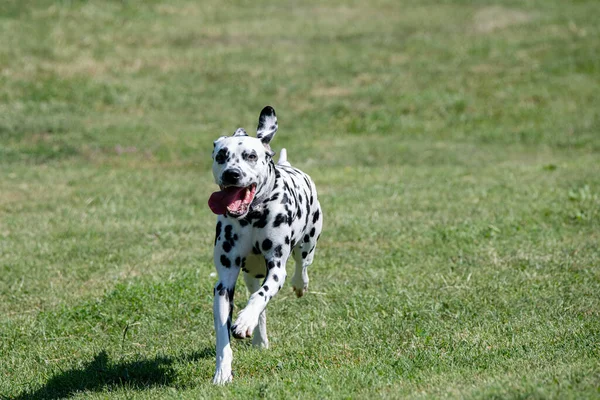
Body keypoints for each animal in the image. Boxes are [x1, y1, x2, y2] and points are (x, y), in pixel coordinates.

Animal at [210, 105, 324, 384]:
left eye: (250, 156)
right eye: (222, 156)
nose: (232, 173)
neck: (252, 215)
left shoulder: (276, 268)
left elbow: (262, 295)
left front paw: (244, 321)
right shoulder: (224, 283)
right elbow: (224, 333)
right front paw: (223, 371)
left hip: (308, 243)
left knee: (301, 266)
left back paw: (300, 285)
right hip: (251, 273)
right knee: (257, 299)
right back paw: (258, 337)